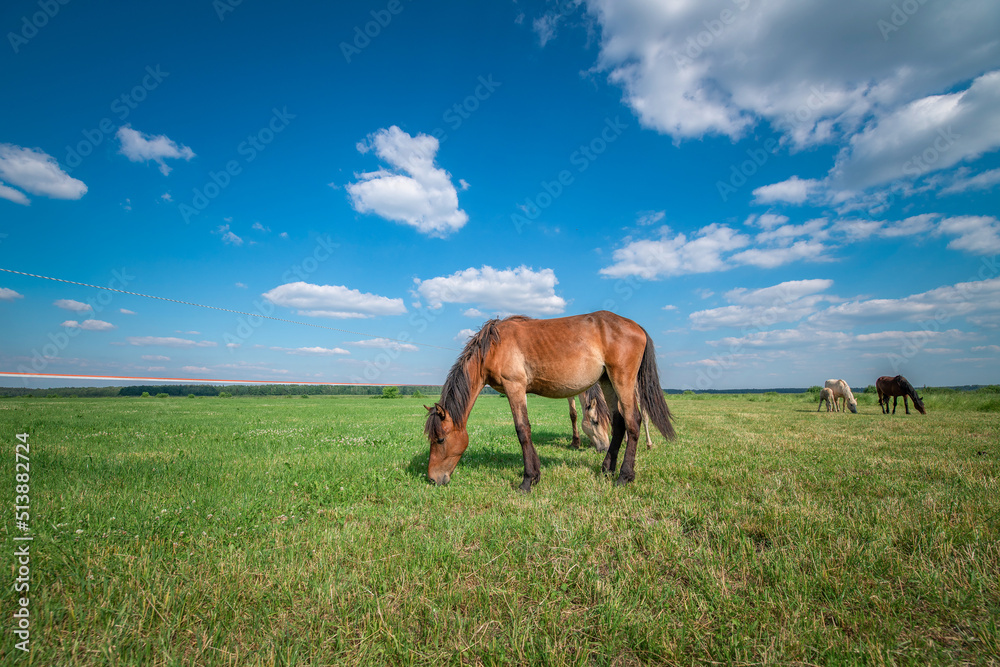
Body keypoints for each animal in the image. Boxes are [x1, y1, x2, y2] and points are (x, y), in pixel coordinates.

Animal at [426, 312, 676, 490]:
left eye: (440, 439)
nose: (432, 479)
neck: (493, 347)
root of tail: (636, 326)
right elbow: (527, 430)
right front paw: (536, 474)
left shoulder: (514, 387)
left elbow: (522, 431)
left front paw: (527, 481)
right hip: (608, 382)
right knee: (619, 423)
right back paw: (607, 468)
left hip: (623, 381)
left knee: (634, 422)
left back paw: (624, 476)